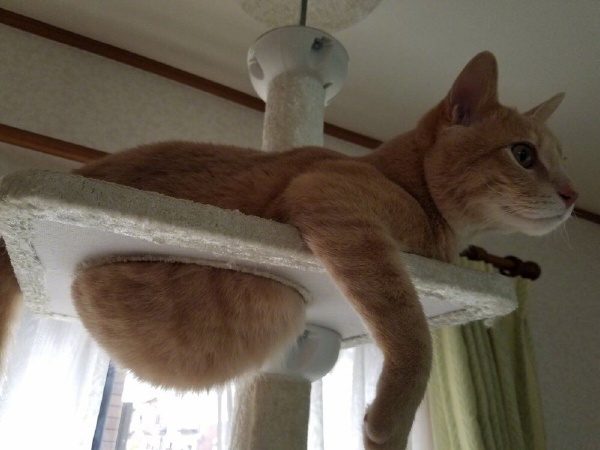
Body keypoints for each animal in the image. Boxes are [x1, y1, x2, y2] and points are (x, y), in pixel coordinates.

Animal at [0, 51, 576, 449]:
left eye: (561, 160)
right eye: (524, 155)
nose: (574, 195)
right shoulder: (335, 202)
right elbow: (414, 335)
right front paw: (389, 425)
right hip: (274, 305)